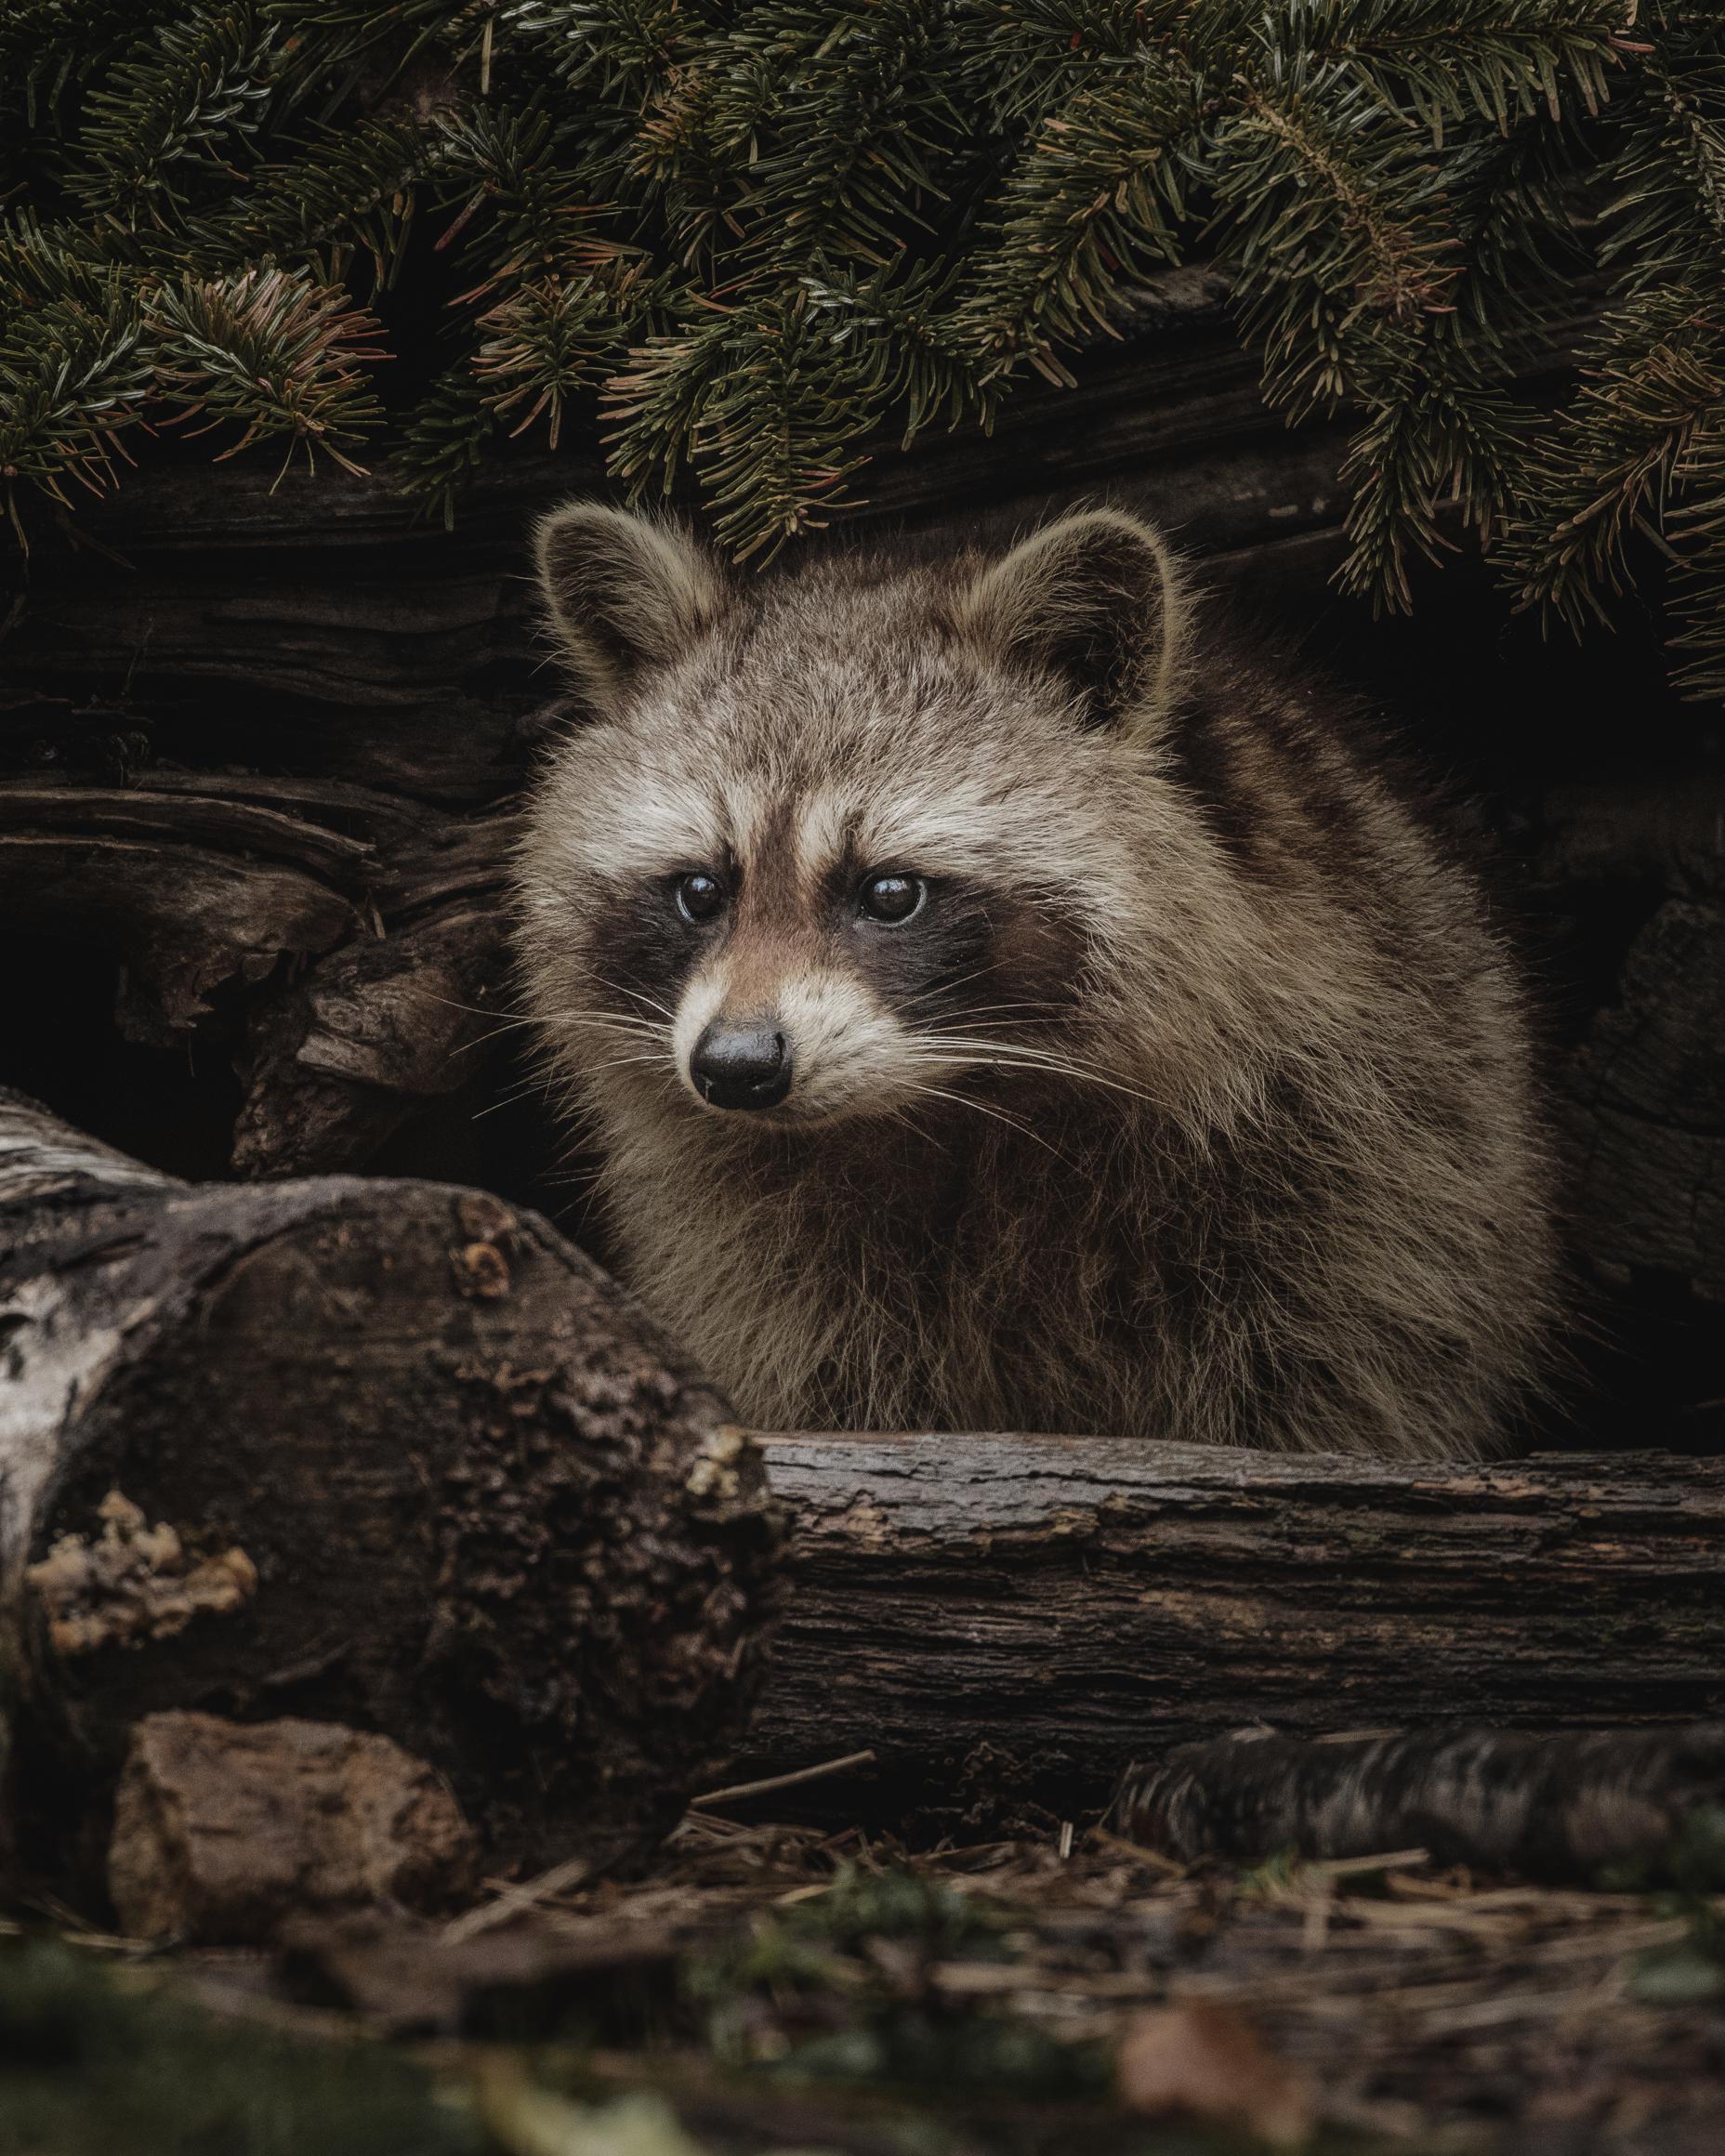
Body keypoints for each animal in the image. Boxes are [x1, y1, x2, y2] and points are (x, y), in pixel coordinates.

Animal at [508, 500, 1552, 1466]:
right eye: (700, 891)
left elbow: (1341, 1366)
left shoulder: (1364, 1156)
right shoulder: (752, 1238)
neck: (957, 1105)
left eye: (890, 892)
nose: (736, 1066)